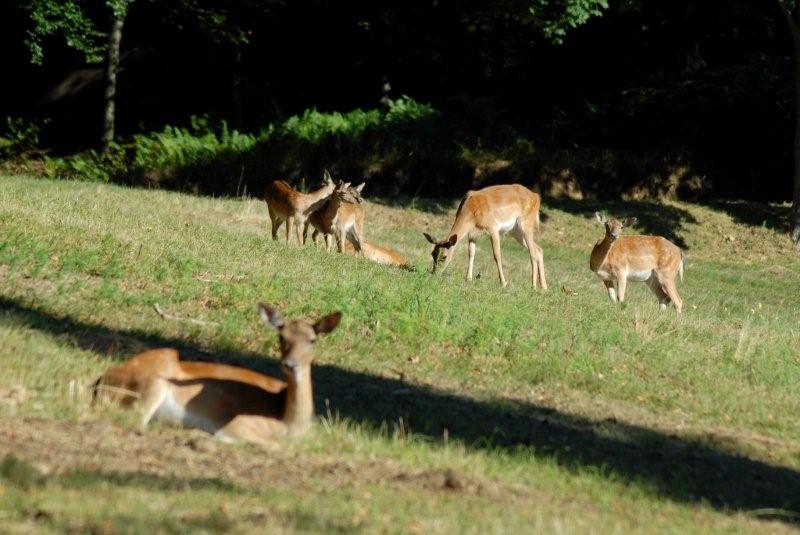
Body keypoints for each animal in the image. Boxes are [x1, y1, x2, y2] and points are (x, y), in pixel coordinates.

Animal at [92, 304, 342, 446]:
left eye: (313, 340)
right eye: (281, 337)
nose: (290, 364)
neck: (288, 422)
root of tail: (101, 382)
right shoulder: (240, 424)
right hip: (152, 385)